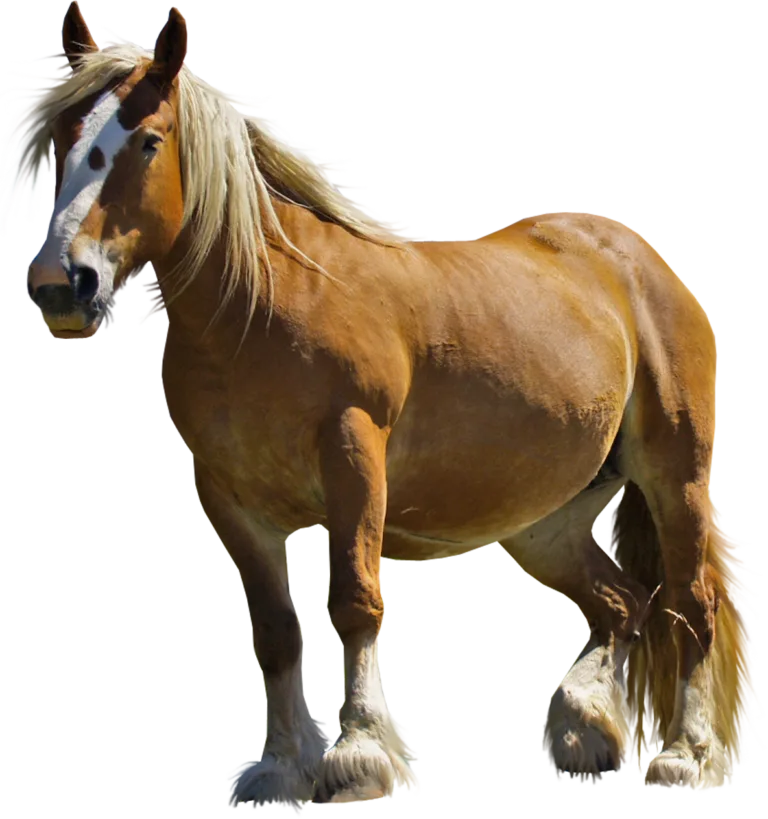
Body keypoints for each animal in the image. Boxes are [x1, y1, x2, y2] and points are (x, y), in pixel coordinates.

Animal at [6, 2, 759, 809]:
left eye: (147, 141)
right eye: (63, 138)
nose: (61, 284)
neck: (264, 305)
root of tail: (642, 261)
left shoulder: (353, 456)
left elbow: (356, 599)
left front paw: (358, 754)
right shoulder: (231, 498)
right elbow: (274, 628)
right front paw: (282, 764)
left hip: (675, 478)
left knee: (688, 607)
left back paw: (680, 755)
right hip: (546, 522)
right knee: (623, 605)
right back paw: (583, 727)